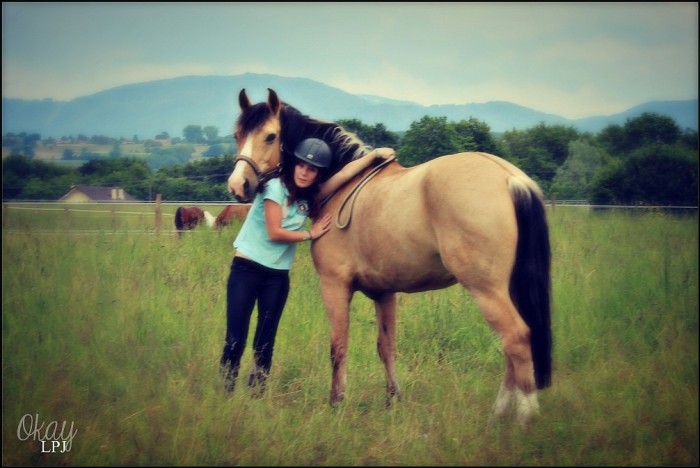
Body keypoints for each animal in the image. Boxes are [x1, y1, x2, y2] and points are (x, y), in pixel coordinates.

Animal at [227, 88, 552, 427]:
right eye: (237, 135)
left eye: (270, 136)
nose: (238, 185)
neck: (339, 186)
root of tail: (509, 177)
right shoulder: (384, 293)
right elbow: (387, 346)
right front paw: (393, 398)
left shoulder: (334, 286)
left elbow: (338, 346)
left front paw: (336, 402)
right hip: (506, 289)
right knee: (514, 344)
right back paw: (500, 412)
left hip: (487, 290)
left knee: (516, 338)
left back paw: (525, 417)